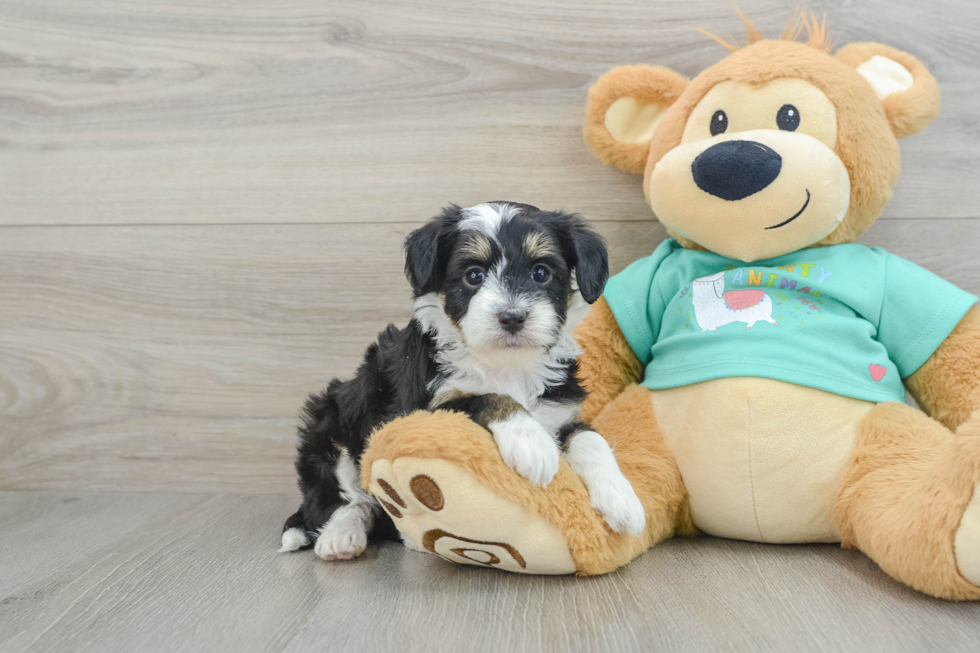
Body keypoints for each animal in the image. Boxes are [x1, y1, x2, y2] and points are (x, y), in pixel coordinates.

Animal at [280, 202, 648, 560]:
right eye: (474, 276)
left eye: (541, 273)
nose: (512, 316)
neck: (506, 366)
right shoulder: (421, 410)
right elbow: (486, 397)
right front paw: (531, 443)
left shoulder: (560, 410)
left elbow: (591, 439)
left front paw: (622, 498)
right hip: (334, 420)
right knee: (346, 497)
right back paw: (342, 537)